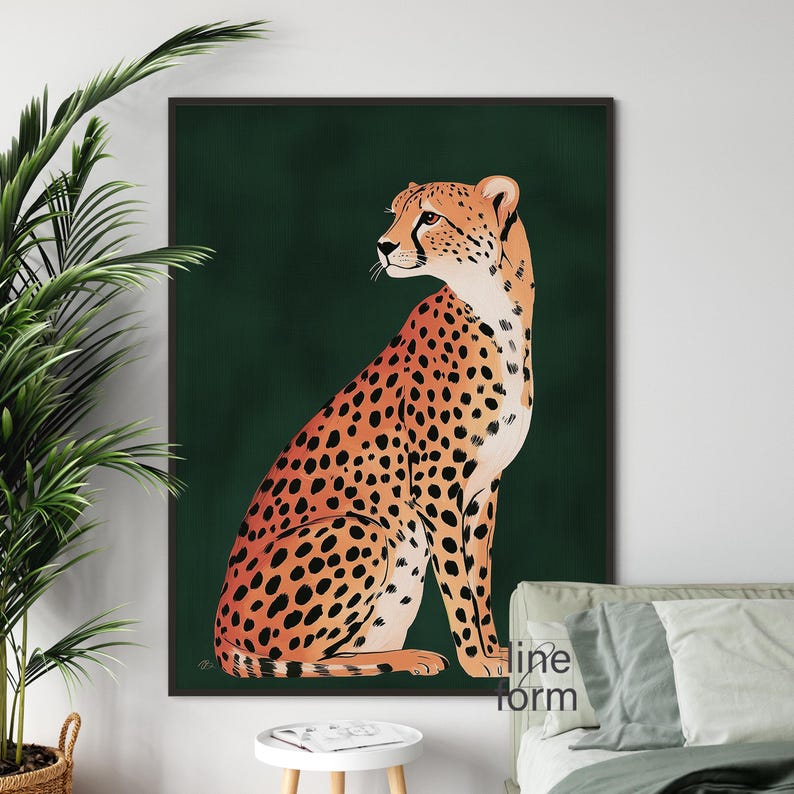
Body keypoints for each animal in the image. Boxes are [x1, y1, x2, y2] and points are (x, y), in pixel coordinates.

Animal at [214, 175, 535, 678]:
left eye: (429, 216)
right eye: (396, 212)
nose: (383, 245)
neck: (496, 309)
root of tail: (219, 632)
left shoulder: (484, 487)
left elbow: (479, 578)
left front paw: (494, 650)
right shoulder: (436, 487)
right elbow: (458, 586)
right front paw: (476, 660)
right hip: (360, 529)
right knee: (303, 660)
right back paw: (410, 657)